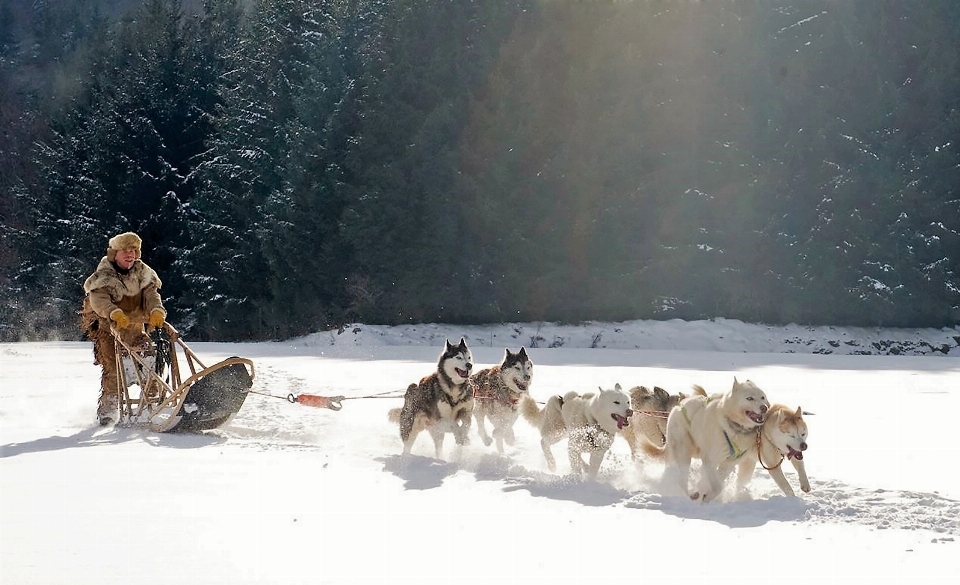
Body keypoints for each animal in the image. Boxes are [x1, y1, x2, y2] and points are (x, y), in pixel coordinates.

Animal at [644, 378, 772, 502]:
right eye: (749, 398)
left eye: (762, 397)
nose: (764, 408)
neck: (734, 426)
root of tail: (678, 407)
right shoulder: (710, 460)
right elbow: (718, 486)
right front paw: (708, 497)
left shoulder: (728, 464)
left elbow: (716, 480)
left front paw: (706, 491)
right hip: (684, 452)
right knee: (681, 479)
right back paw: (689, 495)